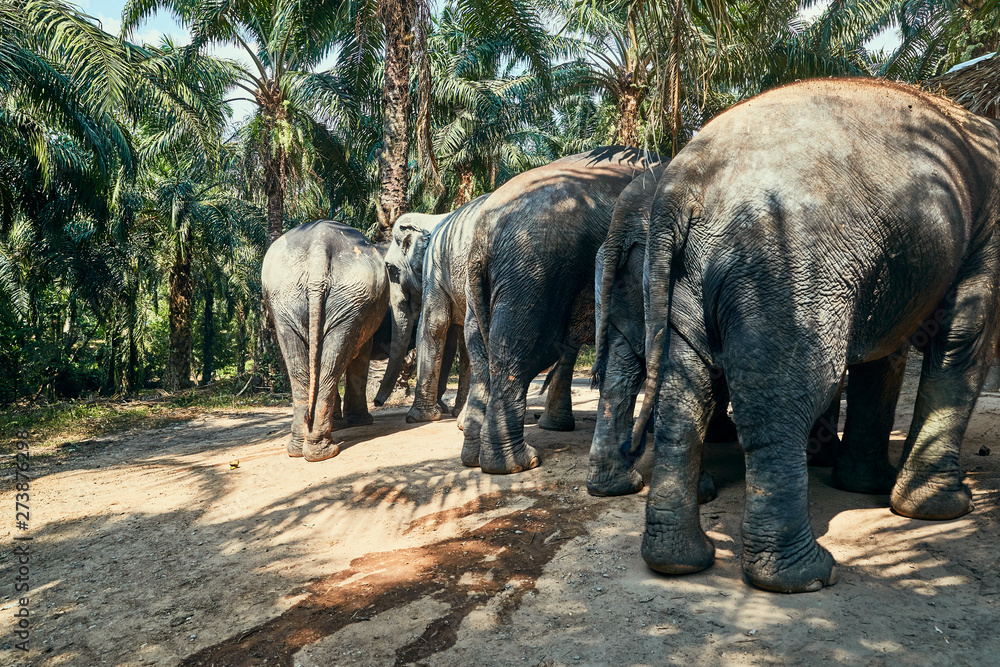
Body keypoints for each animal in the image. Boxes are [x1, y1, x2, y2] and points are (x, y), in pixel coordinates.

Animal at [262, 220, 389, 462]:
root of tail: (319, 245)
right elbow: (361, 354)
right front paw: (358, 422)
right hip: (344, 299)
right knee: (328, 364)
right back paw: (322, 451)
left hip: (299, 298)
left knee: (308, 367)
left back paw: (306, 450)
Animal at [373, 196, 491, 422]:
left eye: (391, 269)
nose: (376, 402)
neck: (430, 218)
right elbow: (463, 339)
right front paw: (453, 411)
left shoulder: (435, 266)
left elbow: (435, 324)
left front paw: (417, 417)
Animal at [463, 147, 660, 474]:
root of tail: (482, 232)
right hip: (532, 273)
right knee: (519, 354)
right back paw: (518, 464)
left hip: (483, 283)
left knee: (480, 356)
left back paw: (473, 459)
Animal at [634, 78, 1000, 593]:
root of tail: (680, 188)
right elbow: (964, 335)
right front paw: (943, 509)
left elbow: (886, 355)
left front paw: (869, 486)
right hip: (784, 267)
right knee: (786, 396)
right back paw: (804, 576)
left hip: (686, 276)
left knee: (682, 390)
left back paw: (679, 561)